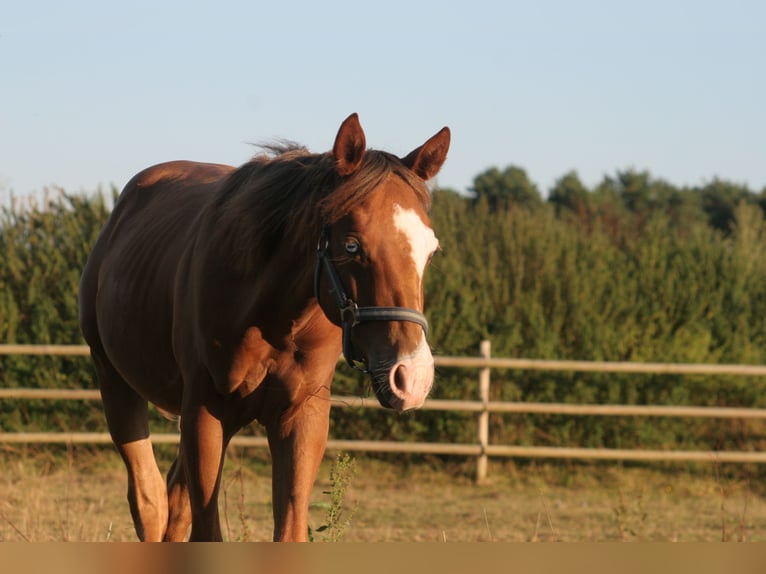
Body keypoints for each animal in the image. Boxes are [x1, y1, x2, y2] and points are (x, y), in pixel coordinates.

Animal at [78, 115, 450, 544]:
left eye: (431, 250)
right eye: (352, 245)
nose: (412, 377)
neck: (271, 315)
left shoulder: (302, 416)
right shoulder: (203, 411)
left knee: (174, 498)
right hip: (116, 384)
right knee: (149, 500)